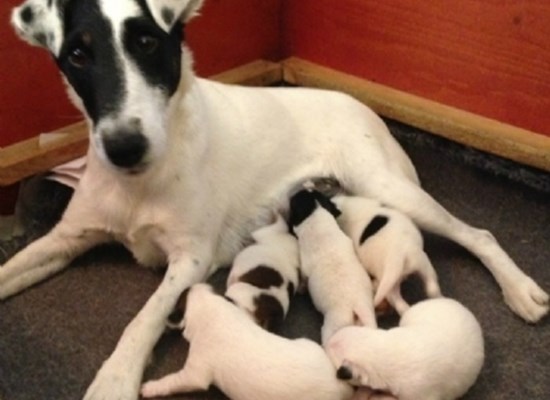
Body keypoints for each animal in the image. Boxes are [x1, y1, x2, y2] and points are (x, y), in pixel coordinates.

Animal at [286, 189, 378, 346]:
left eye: (294, 201)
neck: (317, 215)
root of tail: (359, 308)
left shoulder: (305, 269)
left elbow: (303, 280)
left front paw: (301, 289)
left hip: (332, 327)